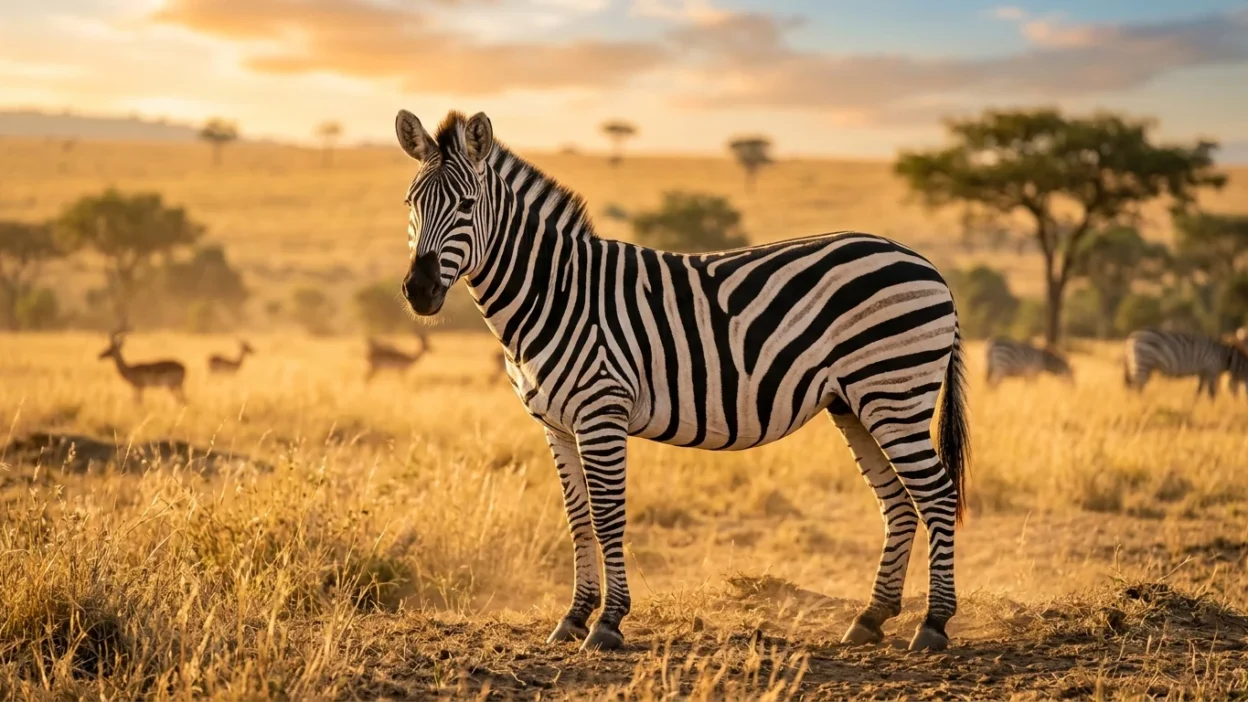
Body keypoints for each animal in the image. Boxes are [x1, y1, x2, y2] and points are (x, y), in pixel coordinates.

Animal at [393, 109, 971, 653]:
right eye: (410, 204)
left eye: (466, 206)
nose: (418, 291)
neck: (554, 292)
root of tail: (925, 264)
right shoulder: (554, 424)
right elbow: (577, 517)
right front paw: (573, 617)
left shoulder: (601, 410)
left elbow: (607, 516)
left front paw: (607, 623)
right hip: (854, 403)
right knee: (898, 500)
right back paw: (870, 619)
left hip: (894, 392)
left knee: (937, 494)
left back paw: (933, 623)